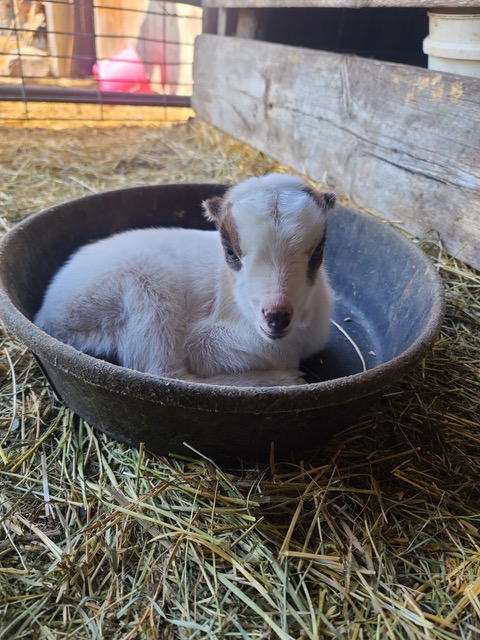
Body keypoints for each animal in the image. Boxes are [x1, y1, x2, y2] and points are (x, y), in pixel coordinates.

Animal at [34, 174, 336, 386]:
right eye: (230, 252)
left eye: (319, 249)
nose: (276, 316)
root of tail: (48, 314)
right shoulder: (208, 338)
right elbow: (199, 350)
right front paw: (286, 375)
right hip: (143, 291)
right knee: (165, 373)